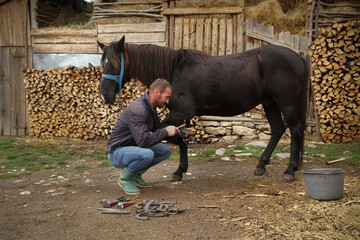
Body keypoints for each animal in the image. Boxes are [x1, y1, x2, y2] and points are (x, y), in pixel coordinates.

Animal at [97, 35, 310, 182]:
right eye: (102, 63)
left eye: (115, 64)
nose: (104, 95)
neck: (174, 70)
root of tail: (298, 57)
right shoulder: (182, 115)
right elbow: (181, 139)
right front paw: (180, 170)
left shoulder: (181, 113)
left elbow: (175, 137)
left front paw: (179, 169)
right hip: (269, 103)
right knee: (277, 129)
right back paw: (261, 165)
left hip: (286, 103)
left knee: (295, 130)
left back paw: (290, 170)